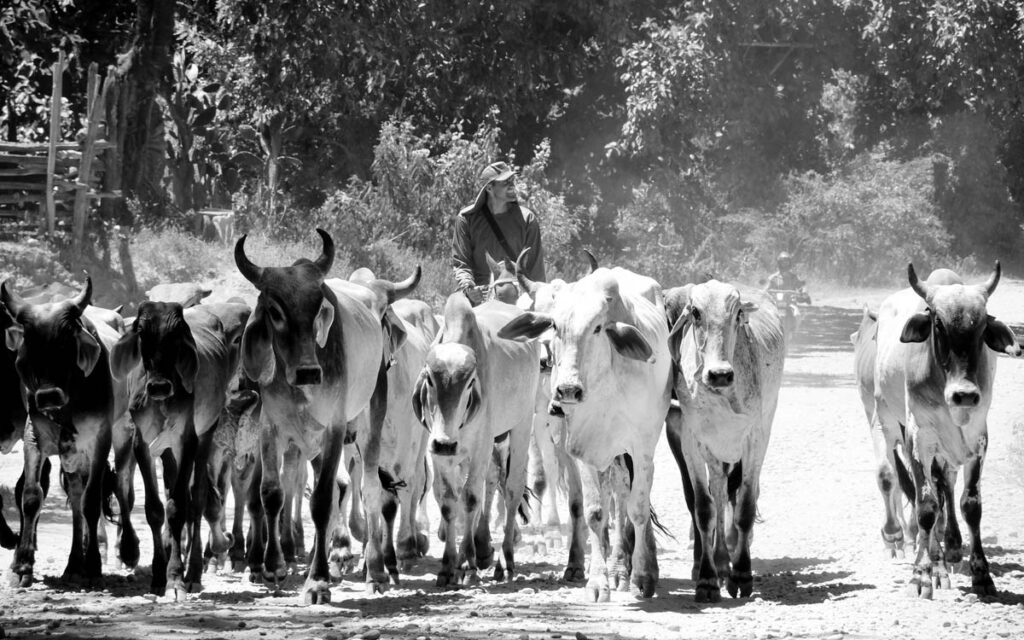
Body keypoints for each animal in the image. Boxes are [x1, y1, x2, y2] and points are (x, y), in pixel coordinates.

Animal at [234, 230, 417, 602]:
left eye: (319, 308)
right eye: (274, 310)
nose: (308, 371)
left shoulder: (334, 429)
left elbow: (321, 501)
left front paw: (317, 581)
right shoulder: (270, 428)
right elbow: (271, 493)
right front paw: (274, 567)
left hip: (370, 423)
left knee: (371, 490)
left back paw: (375, 570)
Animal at [868, 262, 1019, 598]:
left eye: (982, 326)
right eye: (938, 323)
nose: (965, 394)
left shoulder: (977, 437)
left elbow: (969, 504)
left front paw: (981, 574)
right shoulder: (919, 437)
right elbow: (926, 506)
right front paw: (922, 574)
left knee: (945, 487)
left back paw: (949, 549)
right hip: (888, 419)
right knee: (920, 492)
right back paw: (932, 559)